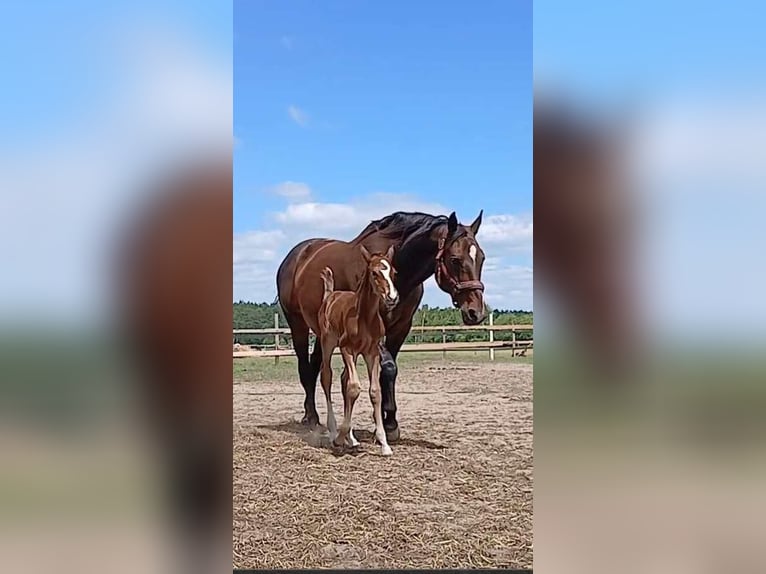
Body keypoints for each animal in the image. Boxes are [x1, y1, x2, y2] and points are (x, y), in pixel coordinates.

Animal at [318, 245, 402, 456]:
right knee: (327, 377)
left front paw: (384, 444)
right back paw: (334, 432)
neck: (364, 317)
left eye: (393, 272)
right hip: (328, 343)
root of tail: (330, 294)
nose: (392, 298)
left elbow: (375, 391)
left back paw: (352, 439)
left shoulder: (372, 352)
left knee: (343, 380)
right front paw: (340, 438)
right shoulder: (347, 348)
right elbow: (354, 388)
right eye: (374, 273)